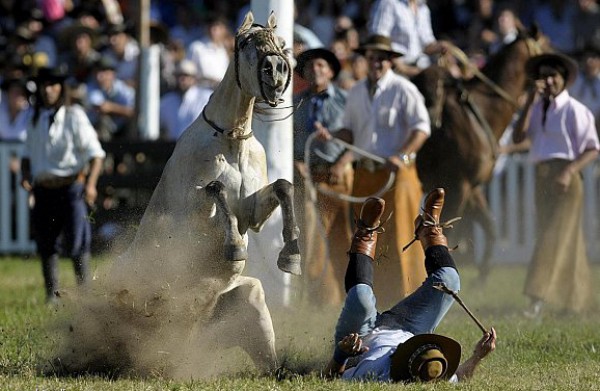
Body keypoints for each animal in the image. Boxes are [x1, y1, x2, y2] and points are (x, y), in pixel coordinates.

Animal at [53, 13, 300, 380]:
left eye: (281, 44)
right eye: (245, 43)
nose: (276, 70)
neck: (230, 141)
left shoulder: (254, 213)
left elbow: (284, 187)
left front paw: (291, 254)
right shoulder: (193, 211)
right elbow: (217, 190)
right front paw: (234, 247)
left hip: (245, 304)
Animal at [412, 27, 548, 280]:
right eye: (547, 45)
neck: (479, 114)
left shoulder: (472, 186)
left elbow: (490, 226)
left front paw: (482, 276)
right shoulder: (457, 185)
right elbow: (449, 230)